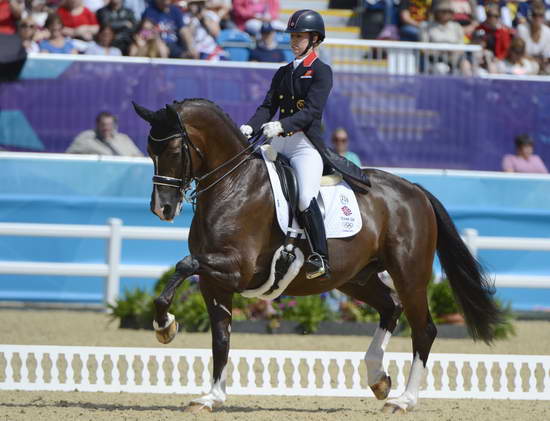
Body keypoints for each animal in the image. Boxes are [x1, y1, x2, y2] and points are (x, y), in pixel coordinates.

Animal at [133, 98, 504, 414]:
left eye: (174, 149)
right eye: (150, 150)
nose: (162, 209)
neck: (233, 185)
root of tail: (414, 190)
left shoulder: (237, 270)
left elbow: (184, 265)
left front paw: (165, 327)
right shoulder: (215, 283)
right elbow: (220, 338)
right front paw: (211, 397)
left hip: (409, 274)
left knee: (423, 328)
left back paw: (403, 400)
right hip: (356, 278)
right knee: (391, 307)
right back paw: (378, 379)